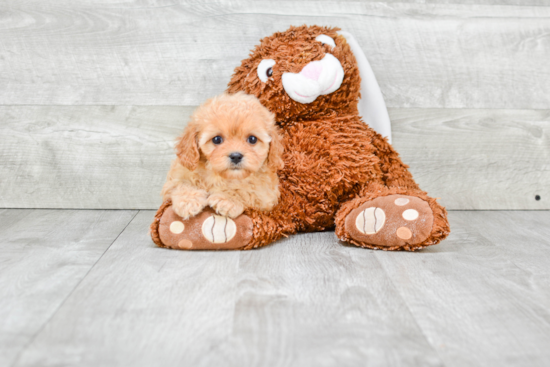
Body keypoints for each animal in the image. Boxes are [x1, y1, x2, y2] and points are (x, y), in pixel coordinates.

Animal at [162, 92, 284, 220]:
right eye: (217, 139)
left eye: (252, 139)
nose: (236, 156)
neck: (220, 176)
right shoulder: (176, 177)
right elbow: (181, 184)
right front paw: (189, 201)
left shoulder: (266, 196)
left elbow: (247, 190)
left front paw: (227, 199)